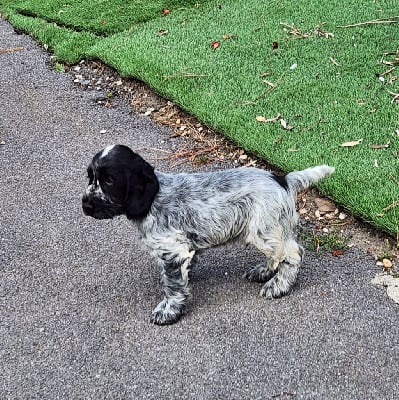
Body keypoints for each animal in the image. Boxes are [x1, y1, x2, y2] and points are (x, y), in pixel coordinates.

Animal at [83, 144, 336, 324]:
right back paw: (263, 271)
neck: (155, 198)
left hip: (263, 230)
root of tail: (282, 180)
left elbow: (173, 286)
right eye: (90, 177)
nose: (85, 205)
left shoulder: (172, 251)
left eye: (109, 180)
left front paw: (169, 311)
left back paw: (278, 286)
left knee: (293, 254)